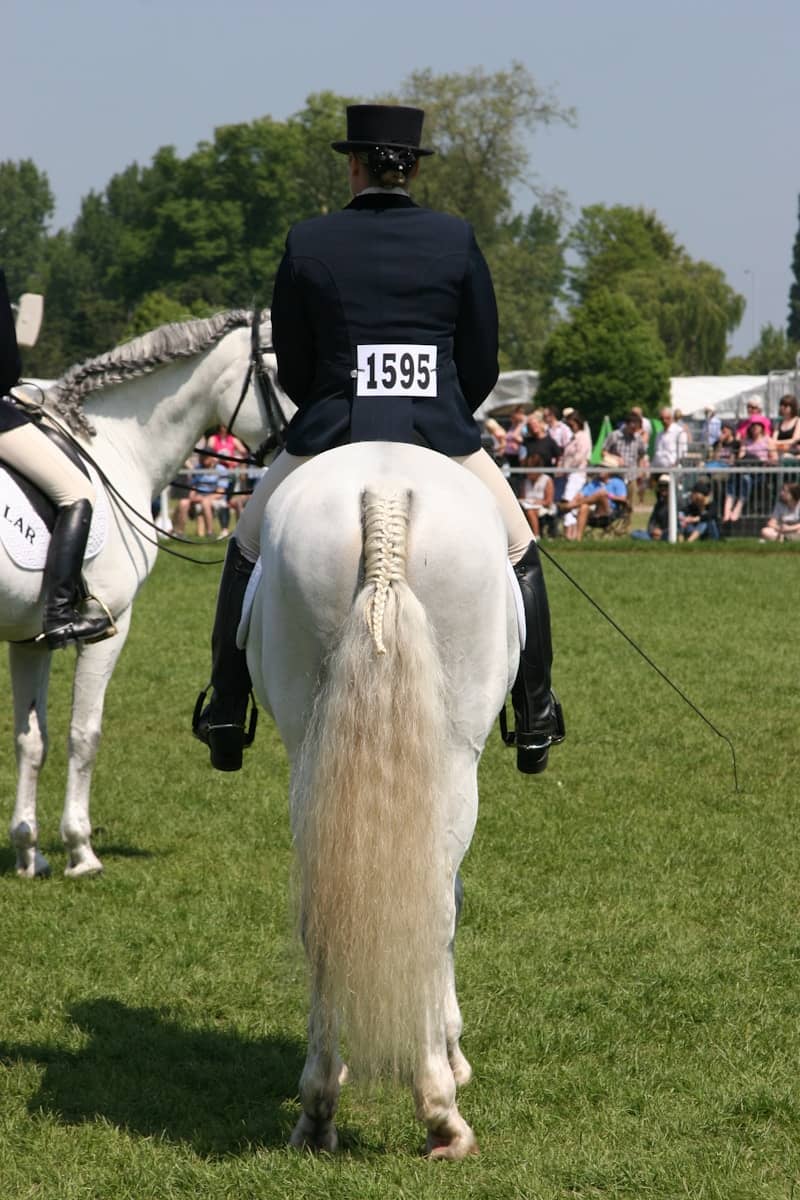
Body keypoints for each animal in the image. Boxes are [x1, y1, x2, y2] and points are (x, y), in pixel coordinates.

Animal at [1, 310, 279, 878]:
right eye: (284, 374)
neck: (113, 445)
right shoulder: (110, 625)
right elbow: (84, 735)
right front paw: (81, 851)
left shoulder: (29, 639)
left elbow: (31, 740)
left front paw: (29, 851)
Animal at [244, 441, 519, 1158]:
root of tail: (384, 490)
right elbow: (449, 908)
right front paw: (452, 1052)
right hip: (455, 761)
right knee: (434, 908)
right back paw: (442, 1112)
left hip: (308, 750)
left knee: (324, 911)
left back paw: (318, 1110)